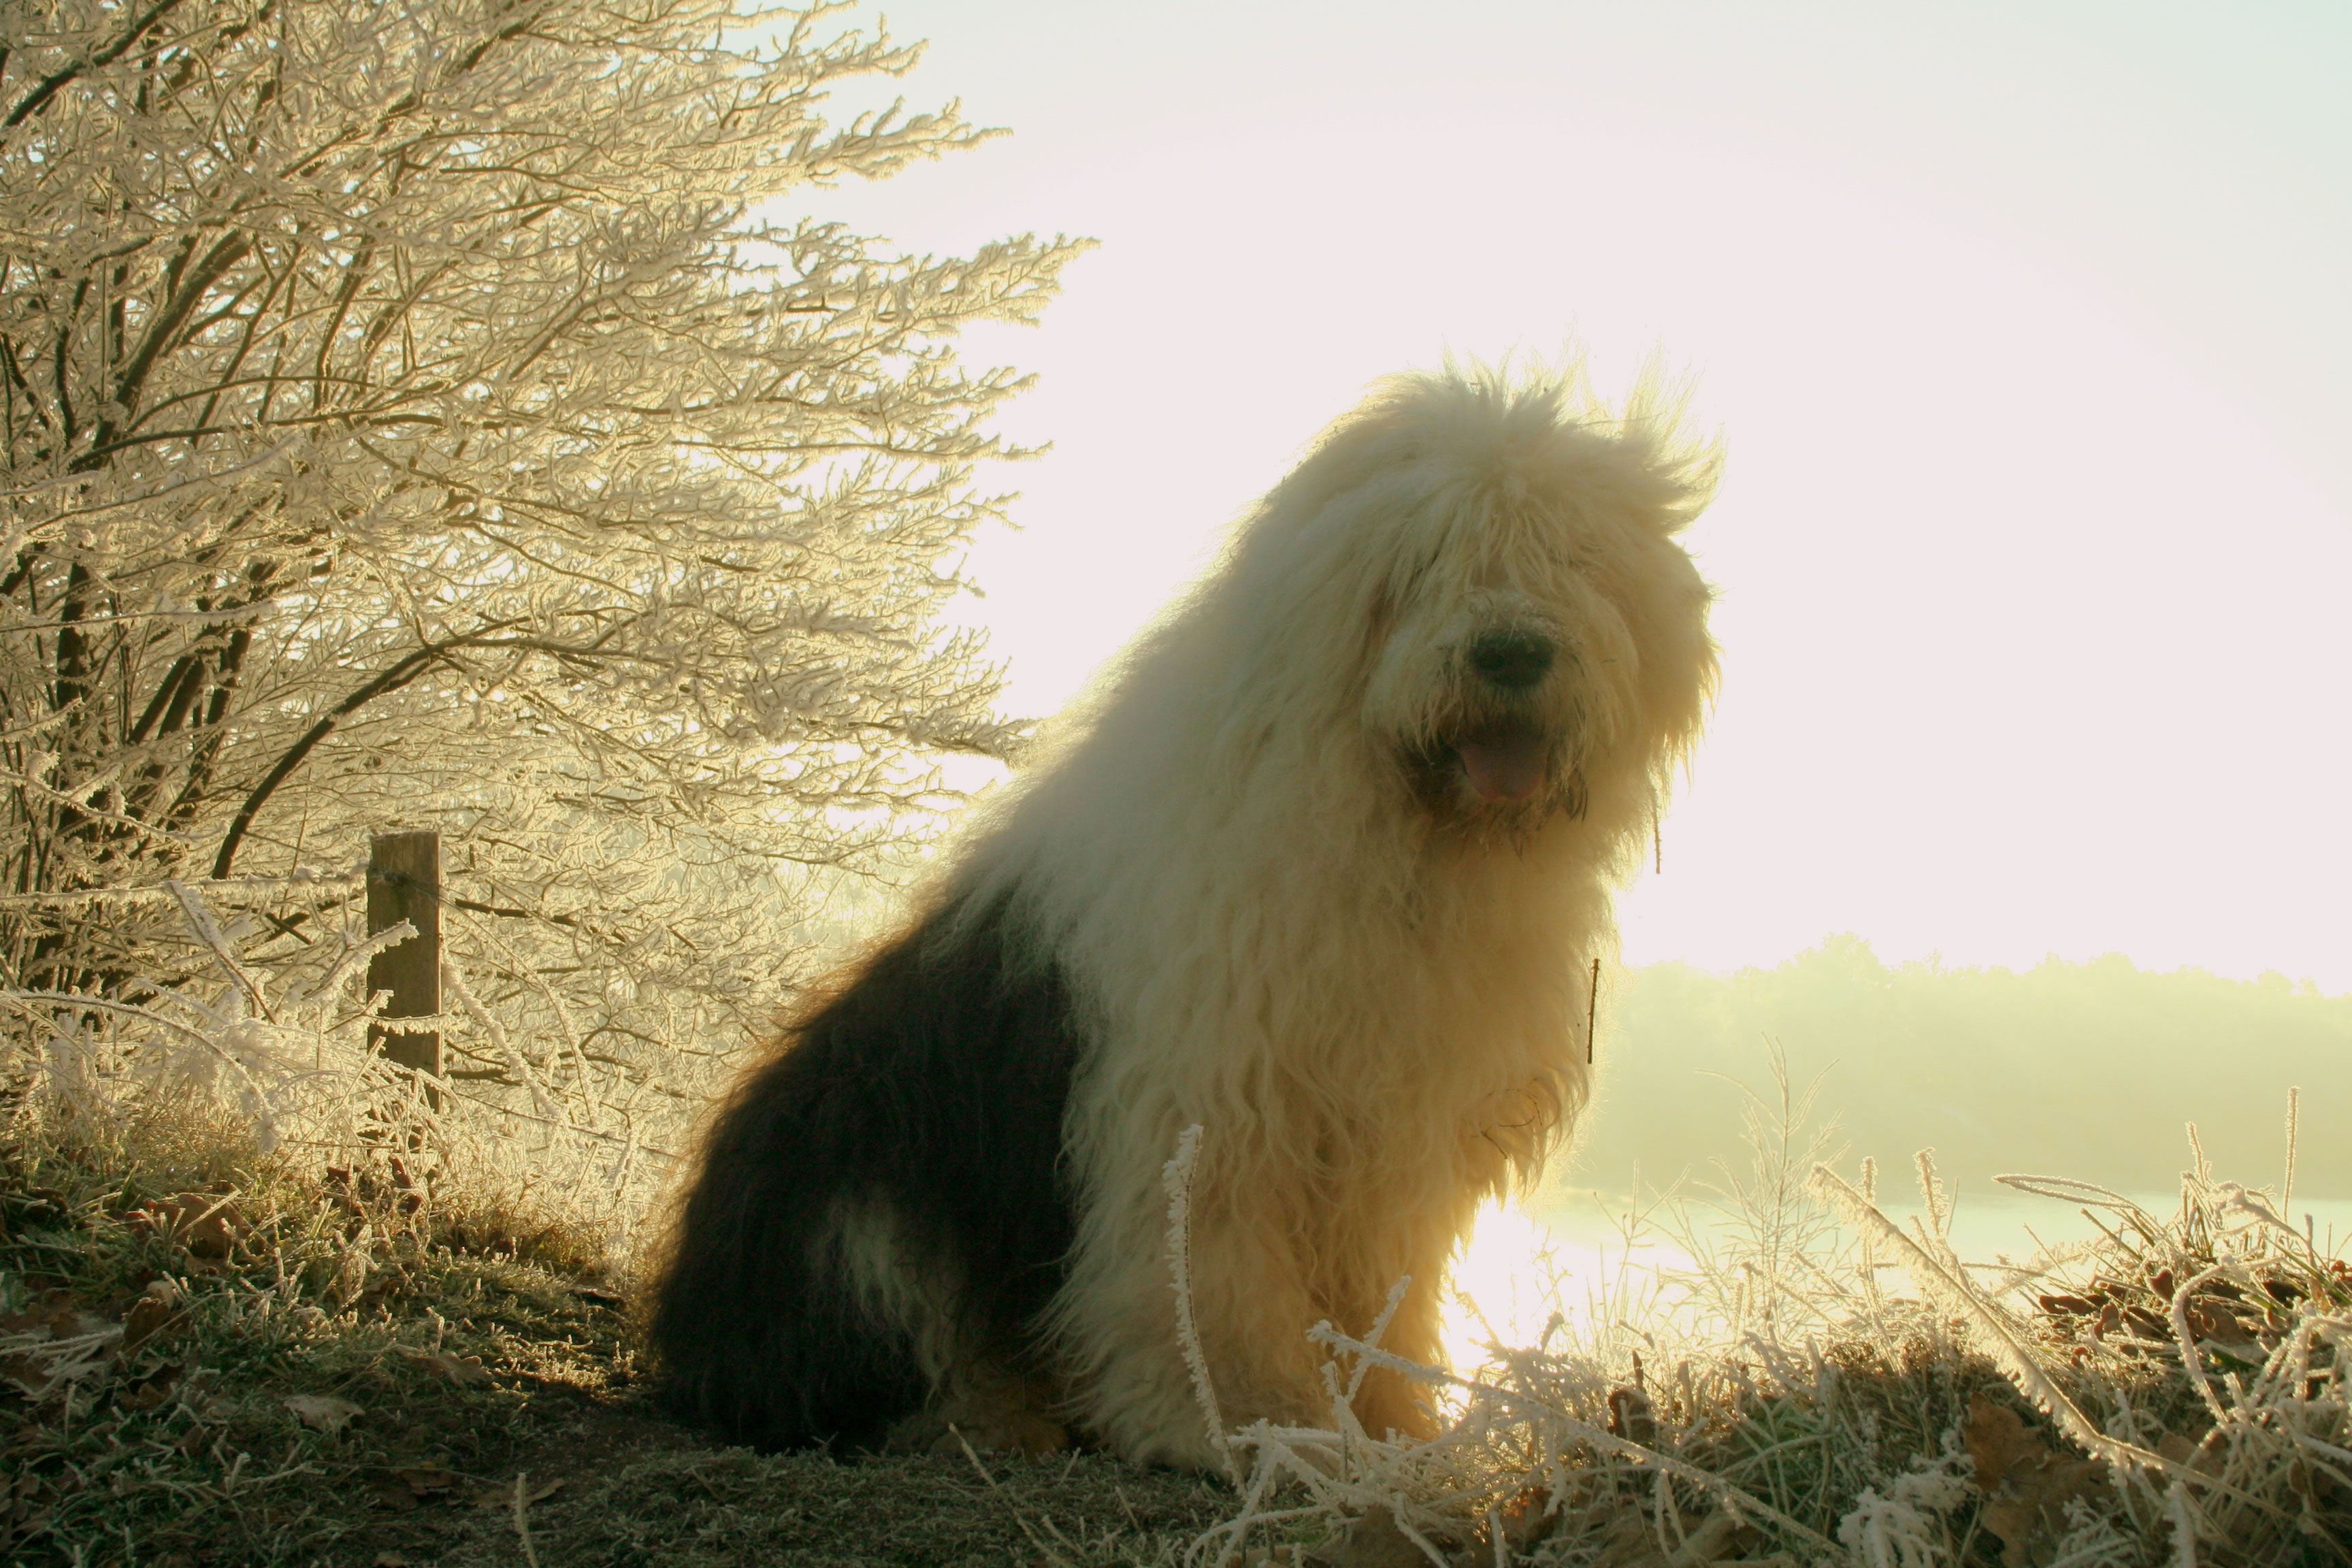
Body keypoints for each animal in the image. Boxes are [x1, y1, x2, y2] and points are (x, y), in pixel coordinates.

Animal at [653, 369, 1721, 1476]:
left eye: (1574, 557)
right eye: (1423, 564)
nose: (1510, 653)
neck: (1401, 842)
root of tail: (679, 1325)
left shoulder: (1397, 1139)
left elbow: (1386, 1292)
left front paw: (1392, 1423)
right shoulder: (1209, 1114)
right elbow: (1207, 1292)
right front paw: (1246, 1425)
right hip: (850, 1184)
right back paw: (985, 1416)